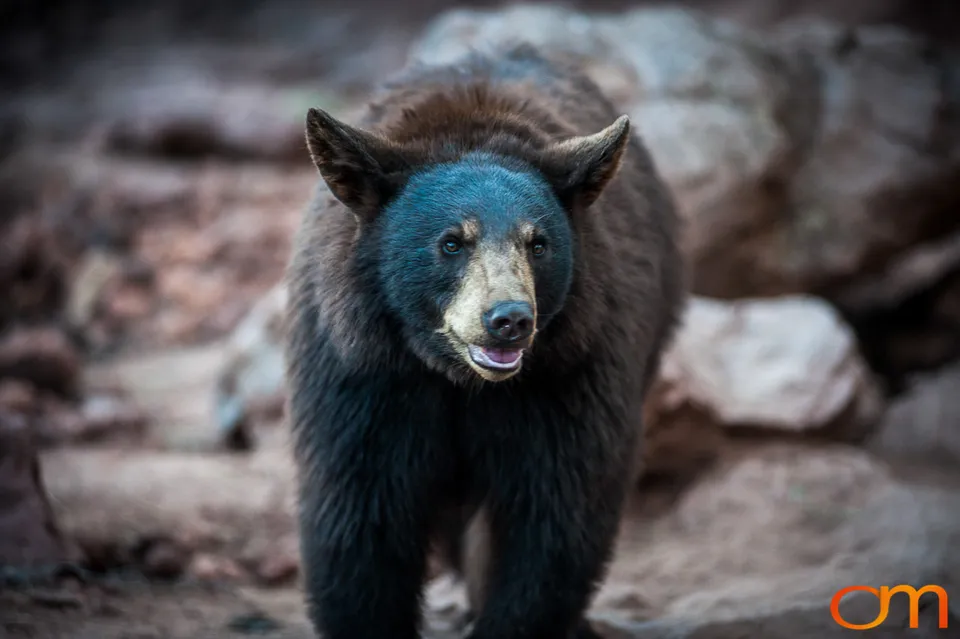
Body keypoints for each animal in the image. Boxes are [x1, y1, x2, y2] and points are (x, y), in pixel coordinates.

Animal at [283, 43, 684, 639]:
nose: (509, 319)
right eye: (452, 242)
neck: (456, 379)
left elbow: (554, 518)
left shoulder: (570, 375)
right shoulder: (361, 376)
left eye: (538, 243)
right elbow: (359, 518)